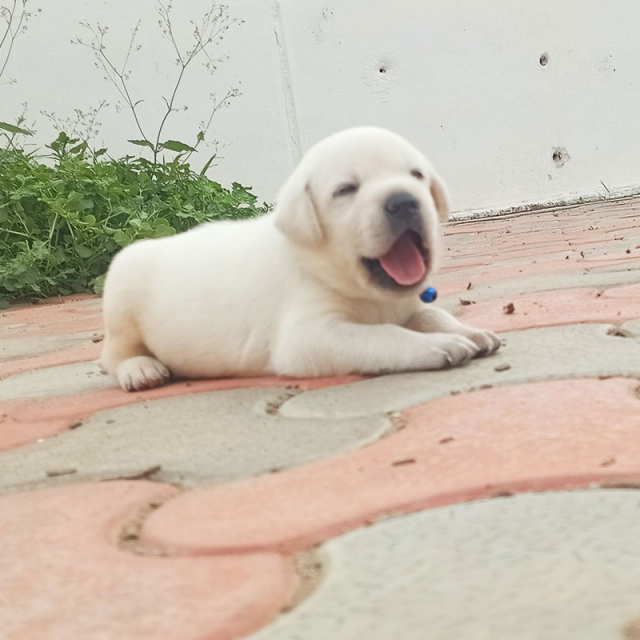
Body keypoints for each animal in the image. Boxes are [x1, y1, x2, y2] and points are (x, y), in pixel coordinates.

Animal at [101, 126, 500, 390]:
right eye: (345, 190)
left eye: (416, 175)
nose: (404, 201)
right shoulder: (310, 336)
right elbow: (385, 336)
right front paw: (440, 346)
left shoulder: (409, 305)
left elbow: (432, 315)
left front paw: (469, 332)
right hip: (121, 294)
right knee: (114, 353)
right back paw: (140, 370)